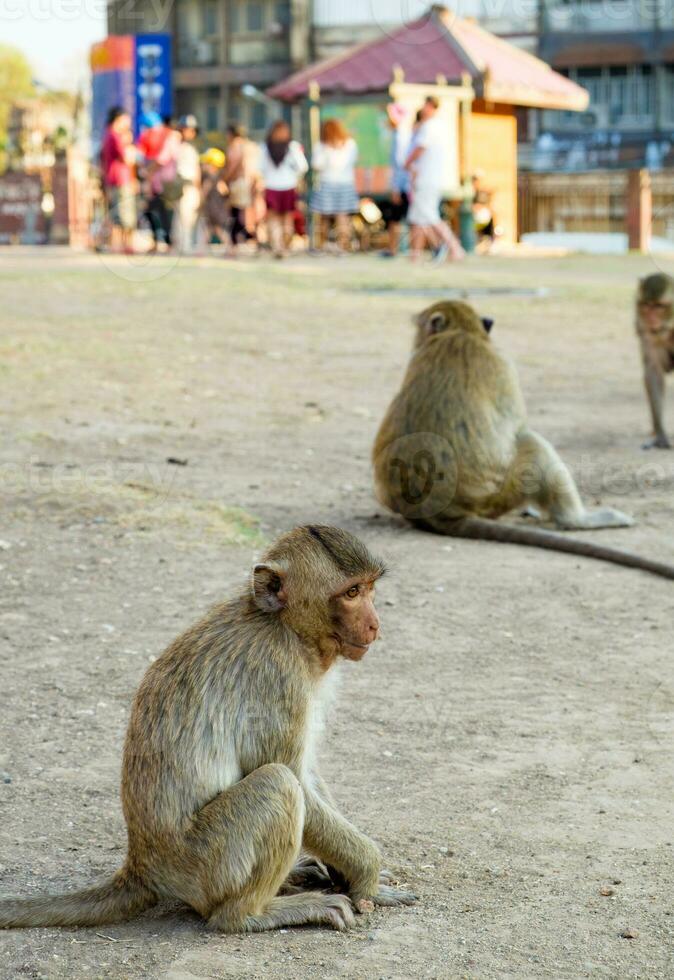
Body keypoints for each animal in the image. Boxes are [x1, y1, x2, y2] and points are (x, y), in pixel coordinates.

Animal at [0, 528, 414, 936]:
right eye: (351, 593)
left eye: (368, 588)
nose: (375, 624)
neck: (284, 626)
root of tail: (142, 866)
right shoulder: (277, 676)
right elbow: (296, 781)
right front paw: (367, 875)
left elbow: (309, 774)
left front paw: (346, 872)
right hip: (205, 863)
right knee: (276, 783)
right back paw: (251, 914)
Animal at [370, 296, 672, 576]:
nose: (416, 339)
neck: (462, 332)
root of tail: (442, 512)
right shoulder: (503, 364)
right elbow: (516, 426)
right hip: (500, 495)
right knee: (532, 443)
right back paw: (575, 519)